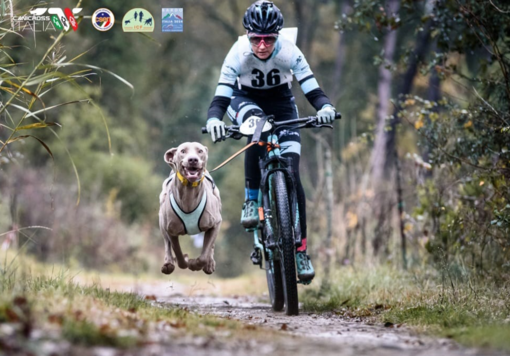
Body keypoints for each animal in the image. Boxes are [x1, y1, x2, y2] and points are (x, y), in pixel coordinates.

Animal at [157, 142, 221, 276]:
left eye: (200, 151)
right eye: (183, 151)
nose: (193, 160)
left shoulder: (216, 222)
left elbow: (204, 254)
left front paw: (195, 264)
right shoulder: (171, 228)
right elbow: (178, 253)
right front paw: (185, 260)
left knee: (211, 246)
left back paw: (209, 264)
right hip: (162, 220)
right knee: (166, 243)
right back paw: (168, 263)